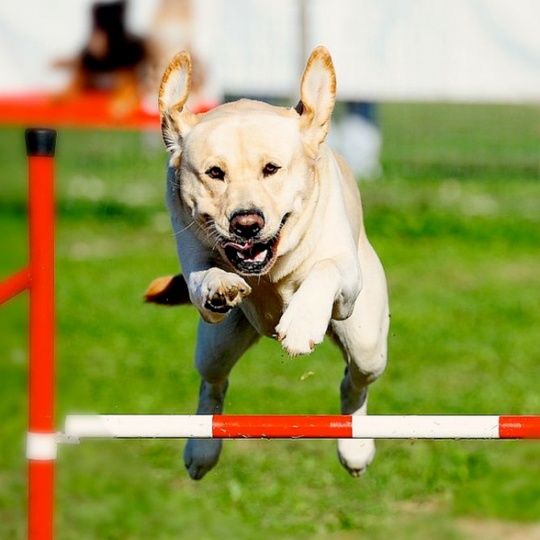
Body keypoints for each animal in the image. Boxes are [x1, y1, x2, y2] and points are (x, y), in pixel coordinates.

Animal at [143, 45, 388, 476]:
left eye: (271, 169)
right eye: (214, 173)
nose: (246, 223)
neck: (272, 271)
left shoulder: (346, 281)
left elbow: (324, 269)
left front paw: (302, 324)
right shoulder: (191, 252)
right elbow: (204, 275)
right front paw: (221, 286)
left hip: (367, 341)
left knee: (354, 383)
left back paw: (355, 449)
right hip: (217, 345)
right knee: (213, 384)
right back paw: (201, 450)